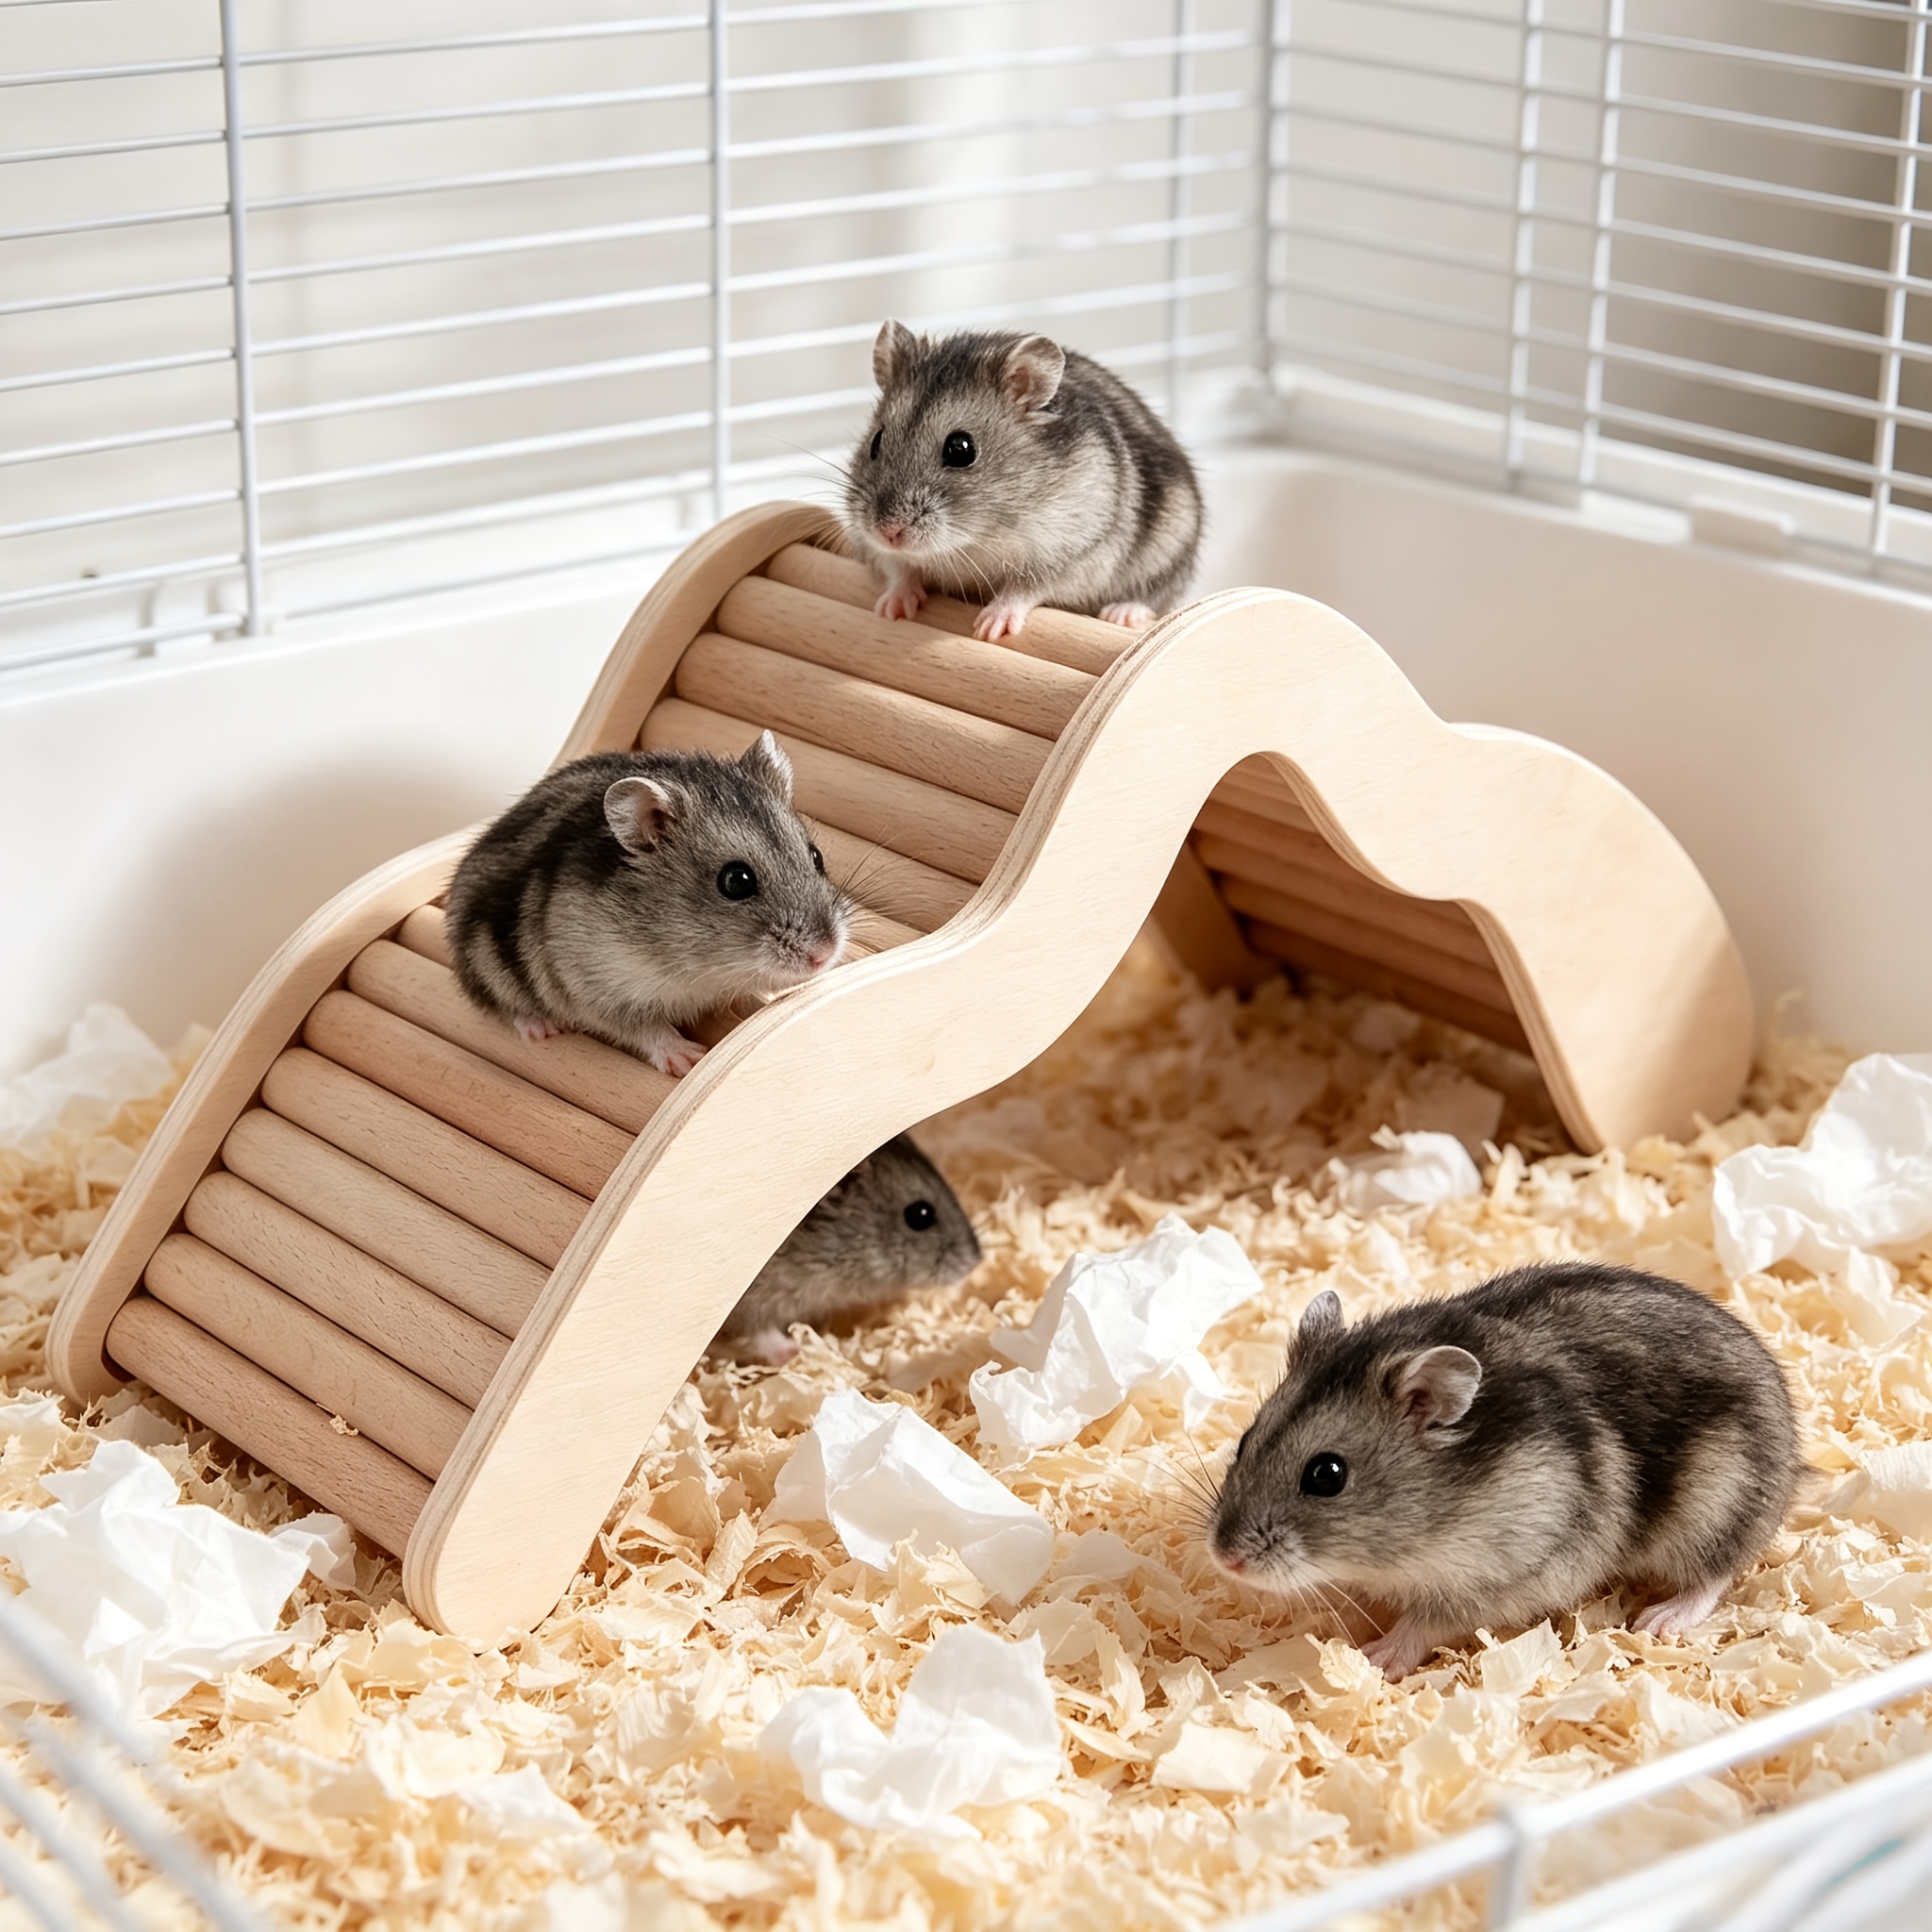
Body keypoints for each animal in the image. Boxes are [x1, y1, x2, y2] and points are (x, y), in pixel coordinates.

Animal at [445, 733, 849, 1077]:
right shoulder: (599, 989)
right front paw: (689, 1059)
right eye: (736, 881)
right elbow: (646, 1028)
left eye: (816, 856)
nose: (824, 954)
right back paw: (541, 1027)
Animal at [842, 321, 1203, 643]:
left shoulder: (1073, 552)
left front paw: (989, 627)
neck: (973, 541)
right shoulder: (884, 553)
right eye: (876, 441)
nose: (888, 533)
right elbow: (900, 569)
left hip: (1171, 550)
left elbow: (1025, 588)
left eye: (961, 449)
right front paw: (890, 609)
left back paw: (1122, 614)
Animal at [1209, 1261, 1800, 1679]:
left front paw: (1375, 1658)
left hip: (1715, 1503)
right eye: (1244, 1440)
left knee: (1715, 1572)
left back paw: (1659, 1620)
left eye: (1327, 1475)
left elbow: (1427, 1622)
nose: (1225, 1559)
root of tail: (1793, 1460)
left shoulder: (1503, 1576)